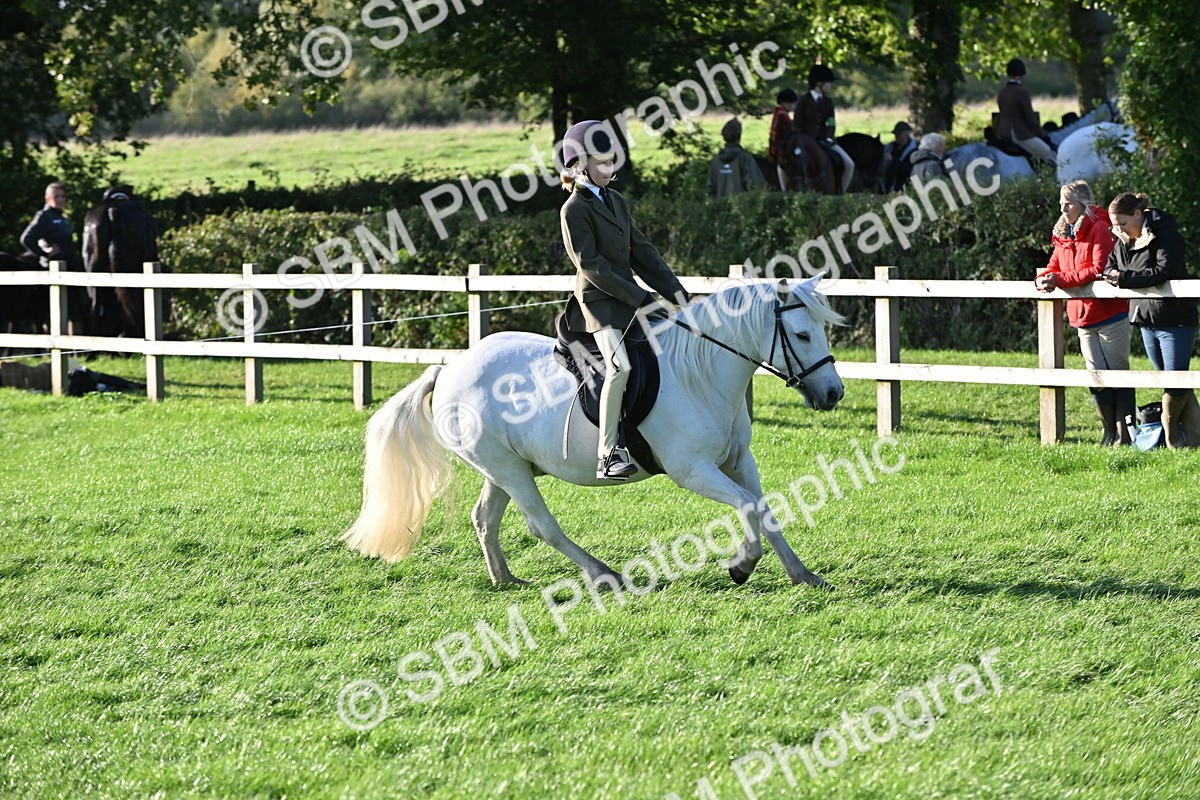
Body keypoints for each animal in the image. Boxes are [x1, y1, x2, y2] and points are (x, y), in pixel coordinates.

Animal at [343, 277, 846, 589]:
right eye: (802, 335)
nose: (834, 393)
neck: (700, 374)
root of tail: (447, 370)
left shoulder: (738, 461)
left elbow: (764, 508)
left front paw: (802, 574)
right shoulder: (693, 470)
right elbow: (746, 506)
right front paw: (741, 565)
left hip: (504, 468)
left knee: (486, 519)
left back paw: (505, 579)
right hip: (507, 469)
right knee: (541, 525)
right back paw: (606, 575)